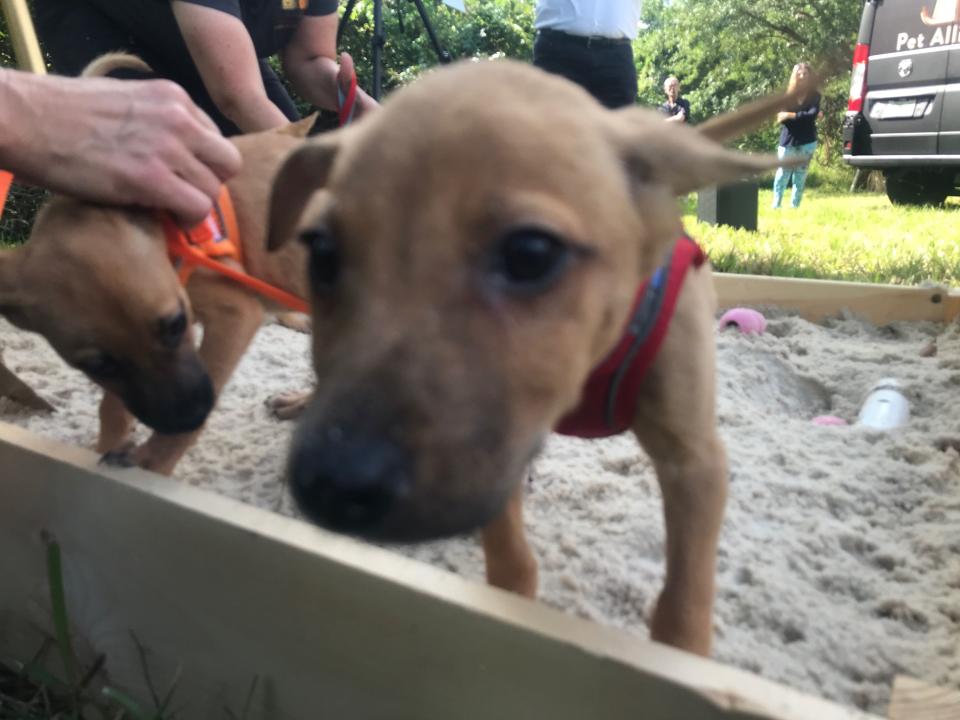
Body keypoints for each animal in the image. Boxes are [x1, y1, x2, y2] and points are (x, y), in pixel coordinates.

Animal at [0, 53, 312, 476]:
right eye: (99, 364)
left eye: (176, 325)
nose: (186, 415)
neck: (167, 235)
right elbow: (112, 404)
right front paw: (109, 446)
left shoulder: (235, 315)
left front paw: (151, 466)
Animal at [268, 60, 796, 660]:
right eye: (322, 254)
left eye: (530, 254)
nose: (334, 485)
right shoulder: (501, 446)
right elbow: (509, 559)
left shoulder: (695, 462)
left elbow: (684, 600)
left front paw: (681, 651)